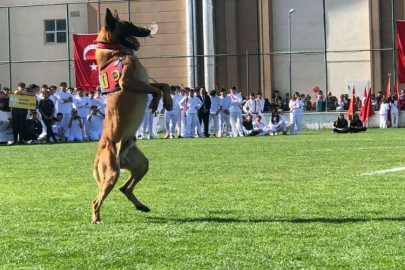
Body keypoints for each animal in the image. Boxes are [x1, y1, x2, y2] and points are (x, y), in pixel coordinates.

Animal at [90, 8, 173, 224]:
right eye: (128, 25)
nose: (147, 30)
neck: (115, 52)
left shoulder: (143, 82)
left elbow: (162, 85)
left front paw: (164, 101)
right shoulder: (127, 82)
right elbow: (157, 88)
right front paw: (156, 102)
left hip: (141, 164)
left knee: (125, 188)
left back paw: (140, 205)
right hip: (112, 172)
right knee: (97, 199)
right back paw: (97, 219)